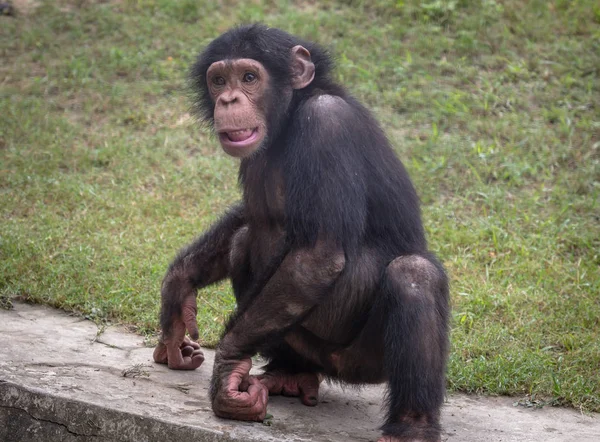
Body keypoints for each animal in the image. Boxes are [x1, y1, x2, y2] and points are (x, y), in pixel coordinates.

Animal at [152, 25, 448, 442]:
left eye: (249, 77)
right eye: (218, 80)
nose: (227, 99)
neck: (291, 116)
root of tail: (337, 370)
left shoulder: (327, 126)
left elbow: (318, 254)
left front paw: (227, 367)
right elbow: (247, 217)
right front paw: (178, 295)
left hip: (367, 360)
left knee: (413, 276)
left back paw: (410, 427)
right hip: (301, 343)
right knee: (244, 242)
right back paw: (290, 375)